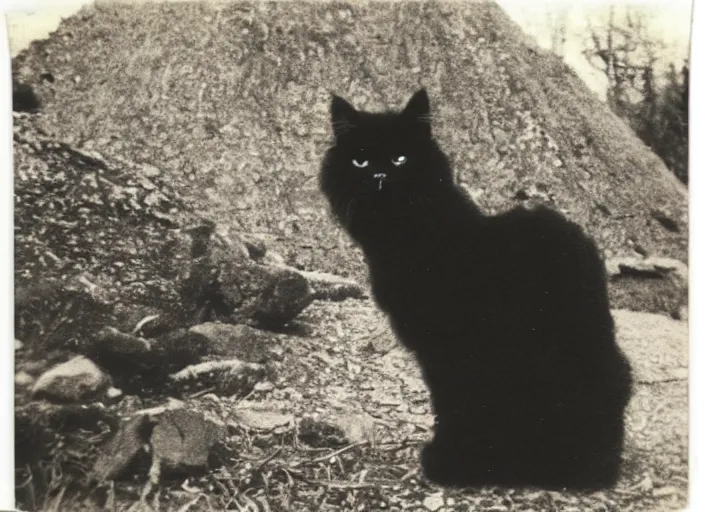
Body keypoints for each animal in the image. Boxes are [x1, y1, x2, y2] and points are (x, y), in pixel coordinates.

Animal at [322, 90, 636, 490]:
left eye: (400, 158)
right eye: (359, 160)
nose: (379, 176)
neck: (413, 240)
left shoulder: (452, 349)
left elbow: (452, 404)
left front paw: (447, 459)